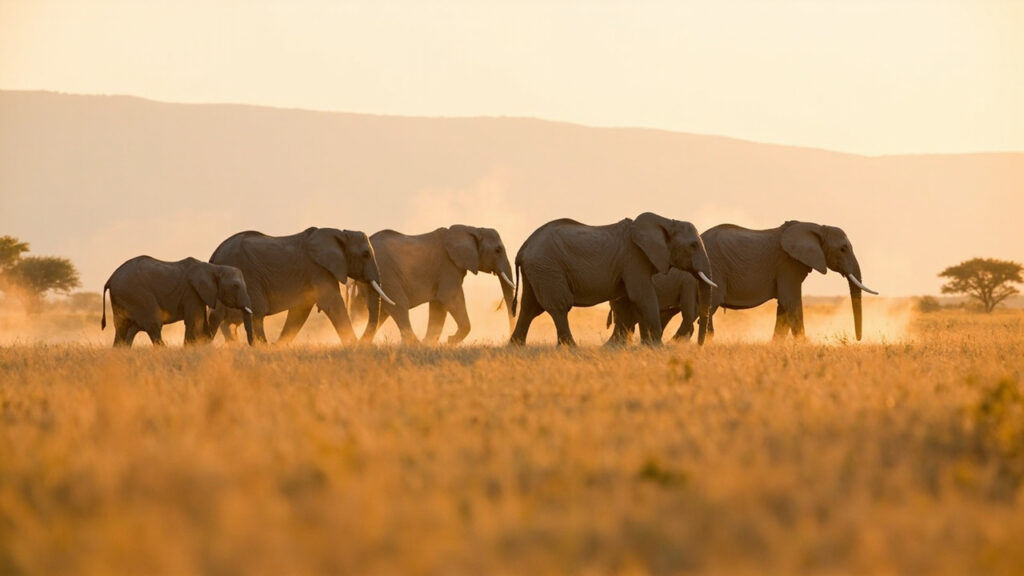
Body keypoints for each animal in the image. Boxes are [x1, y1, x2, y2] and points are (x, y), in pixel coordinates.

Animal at [101, 256, 254, 347]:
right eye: (236, 286)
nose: (252, 346)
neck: (214, 268)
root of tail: (110, 279)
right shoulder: (191, 291)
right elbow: (196, 322)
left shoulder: (198, 294)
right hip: (136, 294)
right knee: (153, 324)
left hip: (122, 297)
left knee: (123, 327)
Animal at [207, 227, 393, 344]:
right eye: (366, 254)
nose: (363, 341)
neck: (340, 233)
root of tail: (215, 253)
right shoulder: (318, 269)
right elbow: (331, 303)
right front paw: (353, 345)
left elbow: (301, 310)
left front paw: (279, 347)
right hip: (245, 275)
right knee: (255, 314)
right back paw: (260, 346)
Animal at [356, 225, 516, 345]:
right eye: (498, 250)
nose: (509, 338)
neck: (472, 229)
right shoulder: (448, 265)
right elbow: (449, 298)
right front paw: (449, 342)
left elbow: (438, 306)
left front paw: (431, 344)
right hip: (386, 273)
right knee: (398, 305)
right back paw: (415, 345)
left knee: (381, 311)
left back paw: (362, 344)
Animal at [509, 212, 717, 347]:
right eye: (693, 245)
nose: (701, 345)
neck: (666, 221)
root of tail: (523, 248)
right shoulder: (634, 258)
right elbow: (642, 296)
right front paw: (657, 346)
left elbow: (625, 302)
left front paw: (620, 347)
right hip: (548, 267)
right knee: (559, 306)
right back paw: (570, 348)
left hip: (538, 270)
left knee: (529, 307)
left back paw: (515, 347)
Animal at [612, 220, 878, 342]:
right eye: (843, 248)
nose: (857, 339)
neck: (816, 226)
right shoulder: (788, 265)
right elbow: (792, 303)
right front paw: (804, 345)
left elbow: (784, 307)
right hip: (715, 271)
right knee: (703, 310)